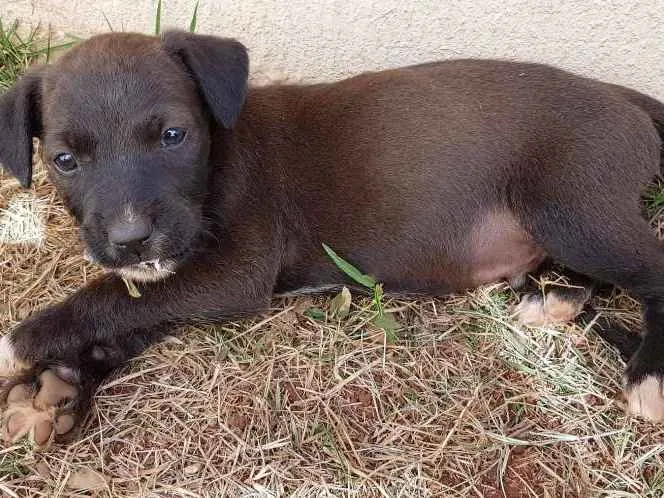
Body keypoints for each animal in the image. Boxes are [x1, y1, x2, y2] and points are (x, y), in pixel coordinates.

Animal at [1, 29, 664, 446]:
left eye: (172, 136)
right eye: (64, 160)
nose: (131, 238)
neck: (220, 149)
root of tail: (623, 98)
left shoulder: (232, 274)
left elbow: (108, 296)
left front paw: (19, 343)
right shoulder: (179, 275)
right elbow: (135, 307)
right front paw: (63, 381)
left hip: (568, 208)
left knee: (650, 270)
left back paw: (647, 375)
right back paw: (555, 300)